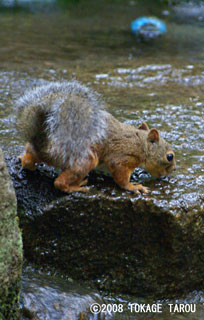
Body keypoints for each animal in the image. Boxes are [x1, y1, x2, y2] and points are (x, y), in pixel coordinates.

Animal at [15, 81, 175, 194]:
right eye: (170, 156)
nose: (172, 170)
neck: (140, 144)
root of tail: (45, 145)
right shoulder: (122, 157)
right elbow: (121, 177)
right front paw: (133, 186)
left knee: (29, 159)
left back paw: (24, 158)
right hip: (86, 159)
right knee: (59, 183)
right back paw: (76, 186)